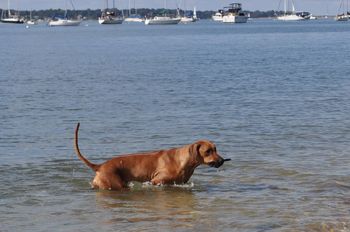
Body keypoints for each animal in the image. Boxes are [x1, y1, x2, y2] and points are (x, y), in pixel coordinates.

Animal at [74, 123, 230, 190]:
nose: (222, 160)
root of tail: (100, 166)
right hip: (114, 183)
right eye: (208, 151)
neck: (183, 161)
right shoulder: (157, 181)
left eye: (215, 149)